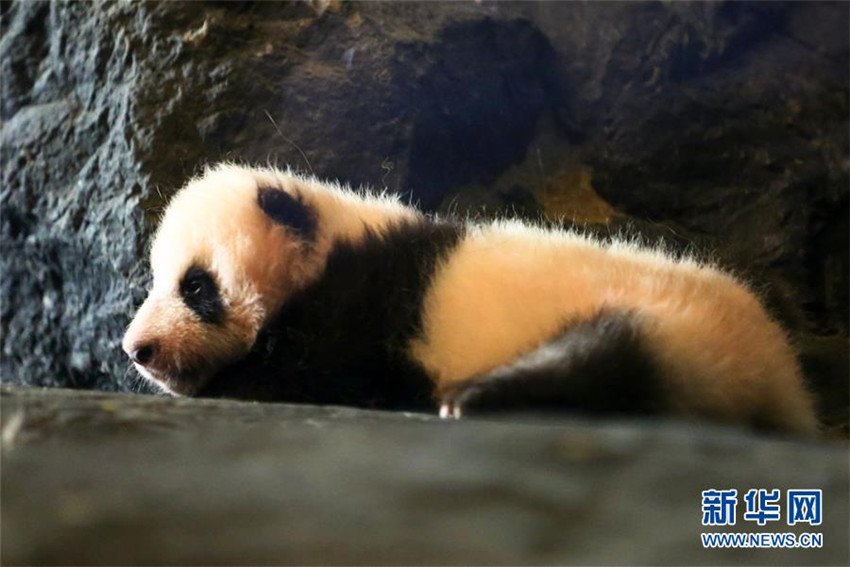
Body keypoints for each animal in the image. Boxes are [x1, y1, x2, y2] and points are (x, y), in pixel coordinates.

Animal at [122, 163, 818, 434]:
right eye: (156, 279)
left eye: (195, 287)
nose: (138, 350)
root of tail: (782, 379)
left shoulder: (368, 301)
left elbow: (315, 371)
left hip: (682, 327)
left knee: (608, 358)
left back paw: (482, 395)